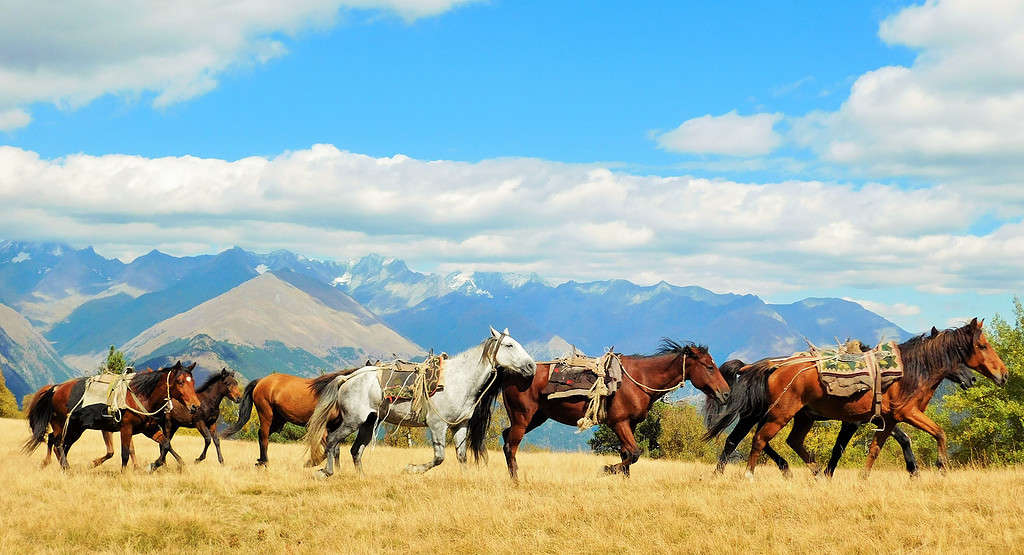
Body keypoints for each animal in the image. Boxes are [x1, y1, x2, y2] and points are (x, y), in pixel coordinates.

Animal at [20, 360, 200, 475]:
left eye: (192, 381)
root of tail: (56, 388)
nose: (195, 406)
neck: (141, 395)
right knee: (58, 443)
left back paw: (60, 466)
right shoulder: (126, 428)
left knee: (58, 442)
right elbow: (125, 453)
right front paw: (124, 473)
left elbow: (166, 445)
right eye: (180, 381)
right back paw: (65, 467)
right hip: (64, 425)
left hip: (74, 428)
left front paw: (167, 465)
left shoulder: (149, 429)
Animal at [222, 372, 350, 466]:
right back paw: (264, 463)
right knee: (264, 436)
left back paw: (261, 461)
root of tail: (261, 381)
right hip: (266, 415)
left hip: (278, 421)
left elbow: (336, 450)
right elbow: (328, 449)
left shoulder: (333, 428)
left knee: (261, 435)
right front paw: (311, 463)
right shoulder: (321, 428)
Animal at [305, 325, 536, 479]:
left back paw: (361, 477)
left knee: (355, 450)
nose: (531, 366)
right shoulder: (437, 425)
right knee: (332, 440)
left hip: (369, 423)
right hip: (353, 421)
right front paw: (412, 469)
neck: (458, 379)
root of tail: (349, 378)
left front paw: (465, 479)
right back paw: (325, 472)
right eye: (509, 345)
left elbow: (461, 455)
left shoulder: (460, 425)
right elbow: (439, 457)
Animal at [501, 339, 729, 483]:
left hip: (535, 417)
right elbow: (634, 453)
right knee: (511, 446)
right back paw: (516, 481)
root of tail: (511, 372)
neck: (640, 378)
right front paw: (607, 469)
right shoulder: (619, 423)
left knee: (505, 437)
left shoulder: (631, 424)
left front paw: (624, 480)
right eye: (709, 367)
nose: (726, 393)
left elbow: (626, 453)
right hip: (523, 417)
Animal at [704, 319, 1007, 481]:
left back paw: (811, 471)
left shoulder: (887, 420)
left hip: (801, 416)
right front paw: (941, 467)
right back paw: (750, 475)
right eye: (982, 346)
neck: (910, 370)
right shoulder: (905, 413)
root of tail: (771, 367)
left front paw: (865, 478)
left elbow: (876, 449)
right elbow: (940, 433)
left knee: (788, 441)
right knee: (756, 439)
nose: (1002, 375)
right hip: (780, 412)